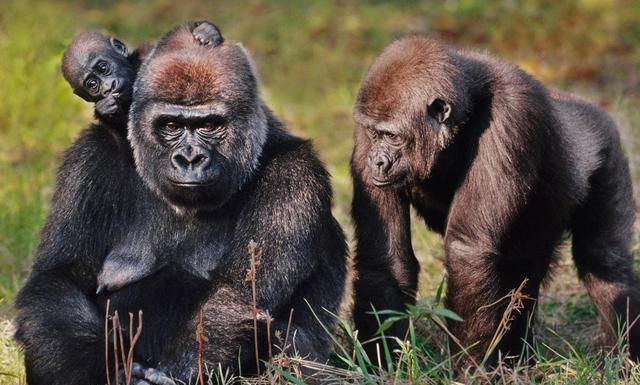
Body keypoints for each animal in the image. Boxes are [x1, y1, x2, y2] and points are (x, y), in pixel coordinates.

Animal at [13, 21, 344, 384]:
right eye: (171, 125)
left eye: (209, 125)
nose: (189, 158)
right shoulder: (87, 161)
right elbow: (58, 280)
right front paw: (113, 372)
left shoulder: (295, 174)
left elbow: (237, 296)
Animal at [350, 35, 640, 372]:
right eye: (374, 134)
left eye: (391, 136)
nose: (376, 162)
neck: (464, 112)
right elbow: (383, 259)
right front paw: (377, 364)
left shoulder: (512, 115)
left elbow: (468, 251)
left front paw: (470, 369)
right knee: (525, 269)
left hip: (607, 148)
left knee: (605, 260)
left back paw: (625, 356)